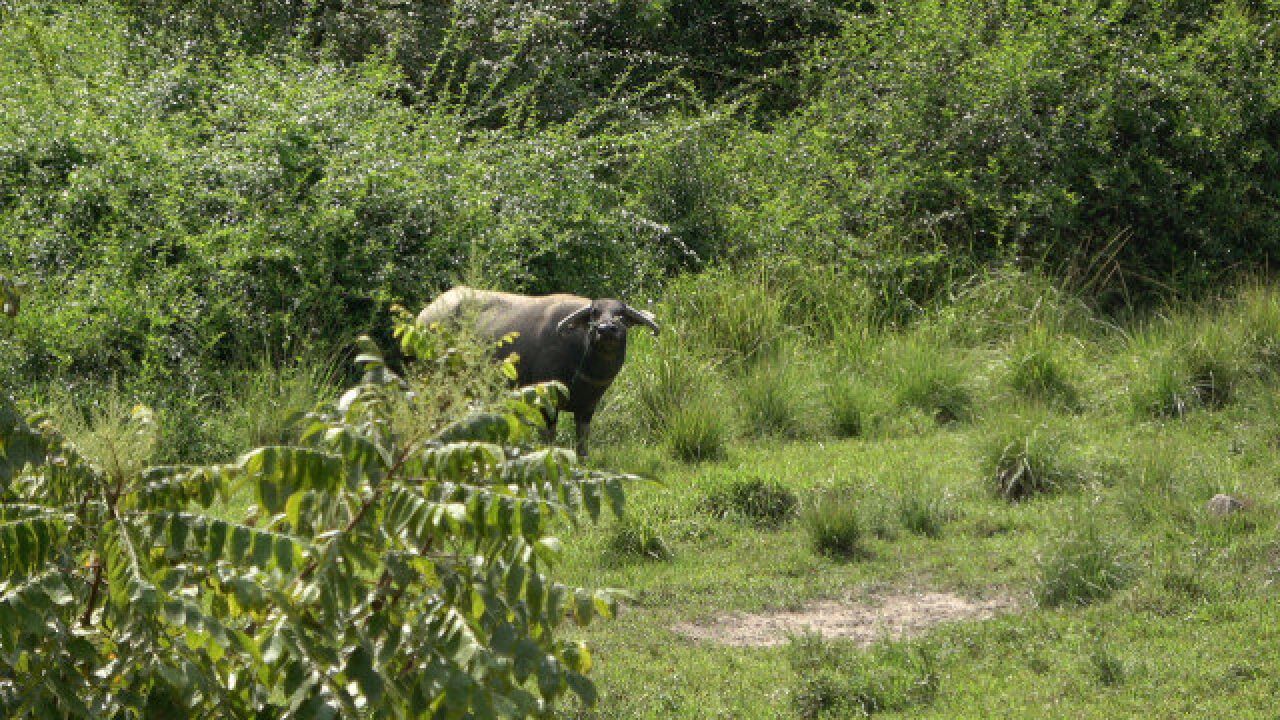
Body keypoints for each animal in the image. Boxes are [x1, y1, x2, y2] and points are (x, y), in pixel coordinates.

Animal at [417, 284, 660, 453]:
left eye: (621, 315)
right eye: (594, 313)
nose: (606, 329)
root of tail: (425, 315)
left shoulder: (587, 408)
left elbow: (582, 444)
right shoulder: (546, 400)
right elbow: (548, 436)